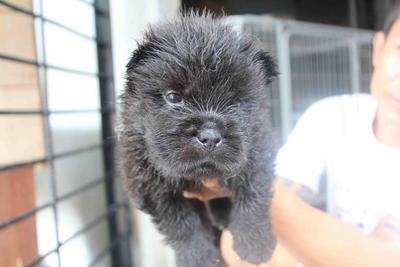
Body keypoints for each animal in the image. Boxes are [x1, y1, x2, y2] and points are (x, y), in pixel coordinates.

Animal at [117, 11, 276, 266]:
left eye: (237, 102)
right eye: (173, 97)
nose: (209, 137)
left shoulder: (258, 154)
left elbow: (253, 199)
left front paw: (255, 245)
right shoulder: (148, 184)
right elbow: (182, 225)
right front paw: (199, 258)